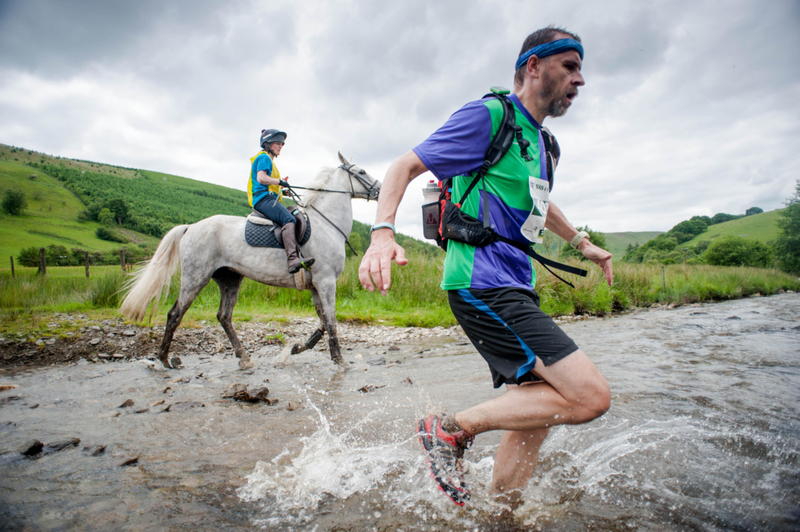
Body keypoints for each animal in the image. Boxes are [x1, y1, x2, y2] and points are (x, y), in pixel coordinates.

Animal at [119, 153, 382, 370]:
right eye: (361, 172)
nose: (380, 189)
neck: (327, 224)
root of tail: (190, 227)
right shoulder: (326, 282)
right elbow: (331, 321)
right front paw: (339, 360)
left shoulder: (316, 284)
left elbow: (323, 321)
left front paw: (298, 348)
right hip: (195, 277)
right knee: (175, 314)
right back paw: (164, 358)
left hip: (229, 279)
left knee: (224, 317)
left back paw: (243, 357)